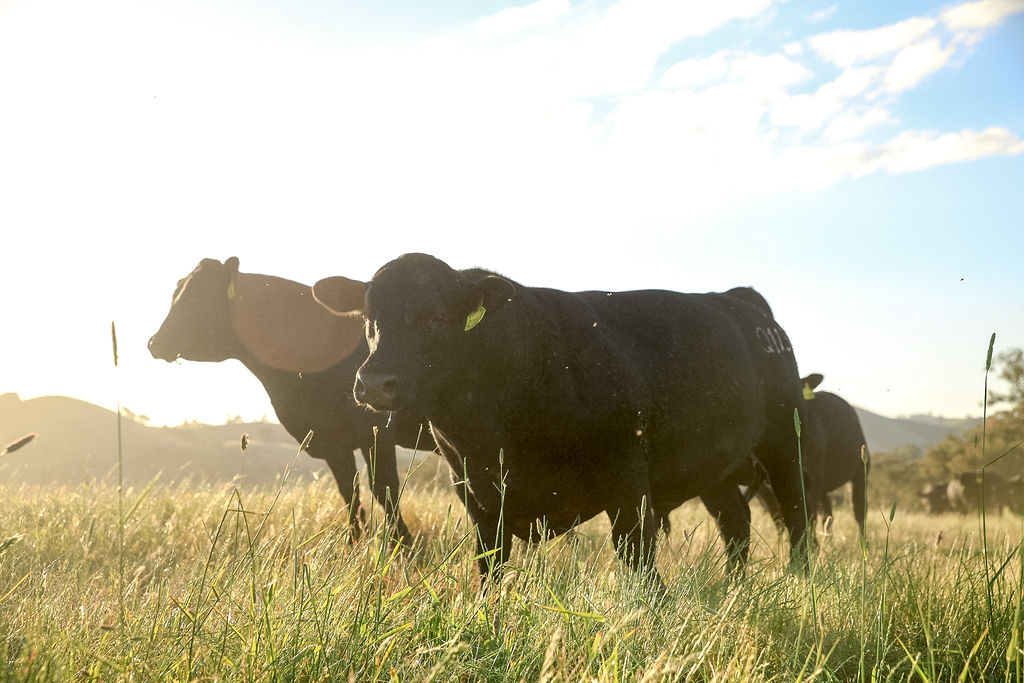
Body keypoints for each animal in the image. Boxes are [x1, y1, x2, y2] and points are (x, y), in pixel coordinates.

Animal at [146, 258, 430, 544]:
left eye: (197, 295)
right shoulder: (333, 441)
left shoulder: (376, 431)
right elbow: (350, 493)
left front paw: (403, 545)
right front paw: (354, 544)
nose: (154, 342)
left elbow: (383, 488)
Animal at [315, 253, 811, 585]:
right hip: (716, 465)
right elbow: (489, 565)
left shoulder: (627, 477)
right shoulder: (477, 493)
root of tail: (739, 299)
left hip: (785, 440)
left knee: (797, 512)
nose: (374, 382)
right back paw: (734, 586)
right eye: (368, 318)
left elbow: (638, 559)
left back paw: (799, 579)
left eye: (436, 318)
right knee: (736, 521)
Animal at [757, 376, 868, 536]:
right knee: (827, 512)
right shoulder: (763, 489)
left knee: (859, 510)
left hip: (859, 472)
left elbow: (809, 517)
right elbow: (779, 520)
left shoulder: (811, 480)